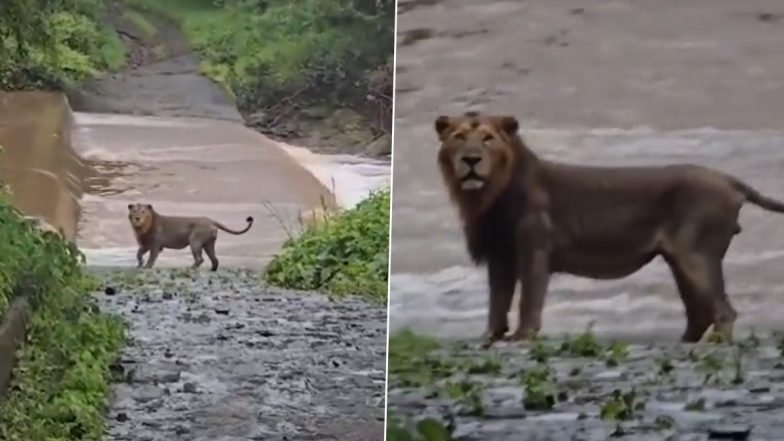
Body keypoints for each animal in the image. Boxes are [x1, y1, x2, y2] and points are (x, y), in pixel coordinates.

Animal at [438, 111, 784, 348]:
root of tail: (730, 180)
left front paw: (523, 336)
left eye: (487, 138)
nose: (471, 159)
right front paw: (490, 336)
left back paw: (716, 341)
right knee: (699, 312)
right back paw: (684, 341)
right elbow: (496, 301)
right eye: (458, 137)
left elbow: (528, 299)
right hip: (679, 260)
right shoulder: (500, 257)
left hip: (695, 254)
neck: (487, 195)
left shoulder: (534, 251)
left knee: (724, 310)